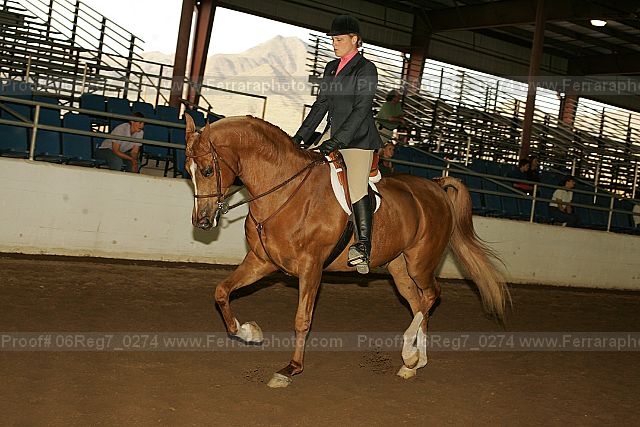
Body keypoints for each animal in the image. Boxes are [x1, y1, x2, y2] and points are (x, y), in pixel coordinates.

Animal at [184, 114, 509, 388]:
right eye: (188, 171)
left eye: (208, 170)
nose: (202, 221)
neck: (284, 192)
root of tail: (436, 186)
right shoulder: (262, 261)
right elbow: (222, 291)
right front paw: (248, 331)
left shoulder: (311, 267)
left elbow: (302, 319)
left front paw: (290, 369)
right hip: (399, 267)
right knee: (419, 302)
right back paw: (413, 363)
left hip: (420, 262)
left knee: (432, 295)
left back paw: (410, 353)